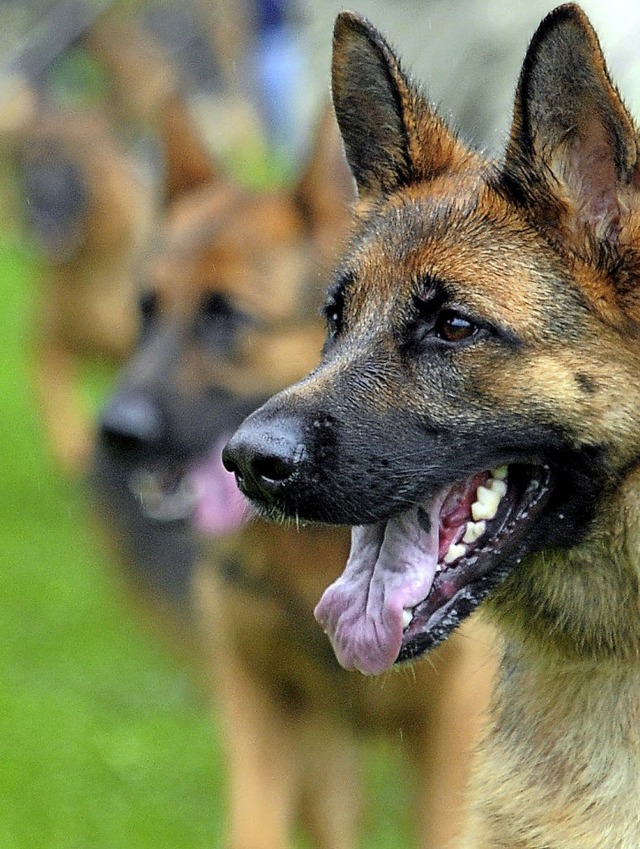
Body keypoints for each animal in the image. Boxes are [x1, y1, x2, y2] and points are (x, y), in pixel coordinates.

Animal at [97, 101, 496, 848]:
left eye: (227, 317)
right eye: (145, 309)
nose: (116, 433)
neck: (313, 554)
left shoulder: (455, 733)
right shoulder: (270, 716)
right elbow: (255, 825)